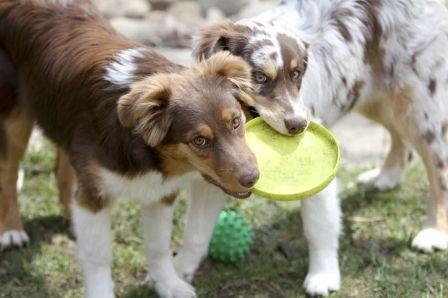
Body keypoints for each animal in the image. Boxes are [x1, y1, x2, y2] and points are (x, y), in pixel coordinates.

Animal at [0, 1, 260, 296]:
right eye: (199, 140)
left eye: (236, 121)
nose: (253, 177)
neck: (142, 148)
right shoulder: (95, 193)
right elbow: (99, 256)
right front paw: (101, 292)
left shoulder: (160, 194)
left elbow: (158, 246)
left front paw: (168, 284)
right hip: (14, 117)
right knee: (8, 172)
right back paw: (11, 230)